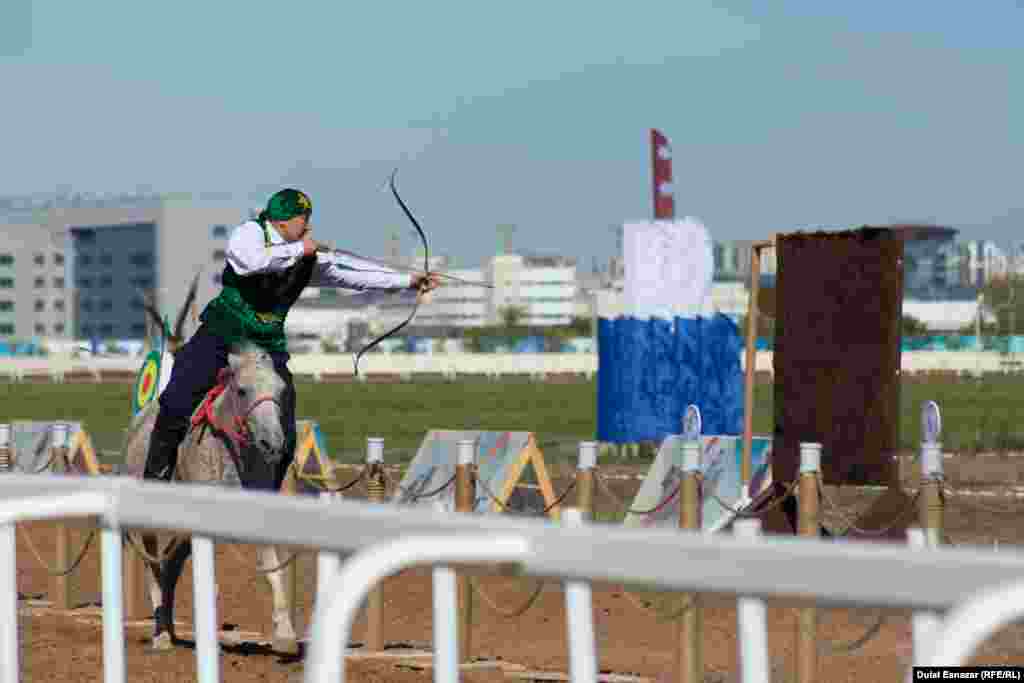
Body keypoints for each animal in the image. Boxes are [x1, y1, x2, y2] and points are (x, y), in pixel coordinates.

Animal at [122, 339, 301, 651]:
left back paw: (170, 628)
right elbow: (209, 582)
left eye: (281, 389)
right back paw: (161, 634)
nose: (272, 442)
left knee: (170, 566)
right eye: (242, 390)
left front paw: (285, 635)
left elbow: (272, 570)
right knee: (152, 567)